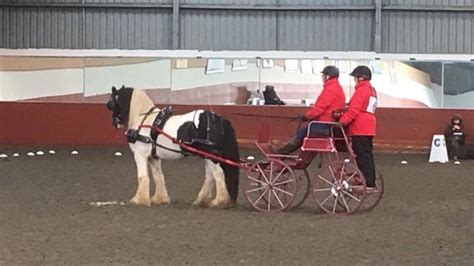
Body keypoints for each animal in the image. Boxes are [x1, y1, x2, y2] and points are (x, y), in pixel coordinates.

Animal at [107, 86, 241, 207]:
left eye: (112, 102)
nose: (114, 123)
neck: (144, 120)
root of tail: (219, 119)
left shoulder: (140, 155)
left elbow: (142, 176)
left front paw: (139, 200)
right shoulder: (153, 157)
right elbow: (158, 176)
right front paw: (159, 199)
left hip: (211, 156)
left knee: (218, 174)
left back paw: (218, 201)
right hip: (207, 156)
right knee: (210, 177)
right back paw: (201, 200)